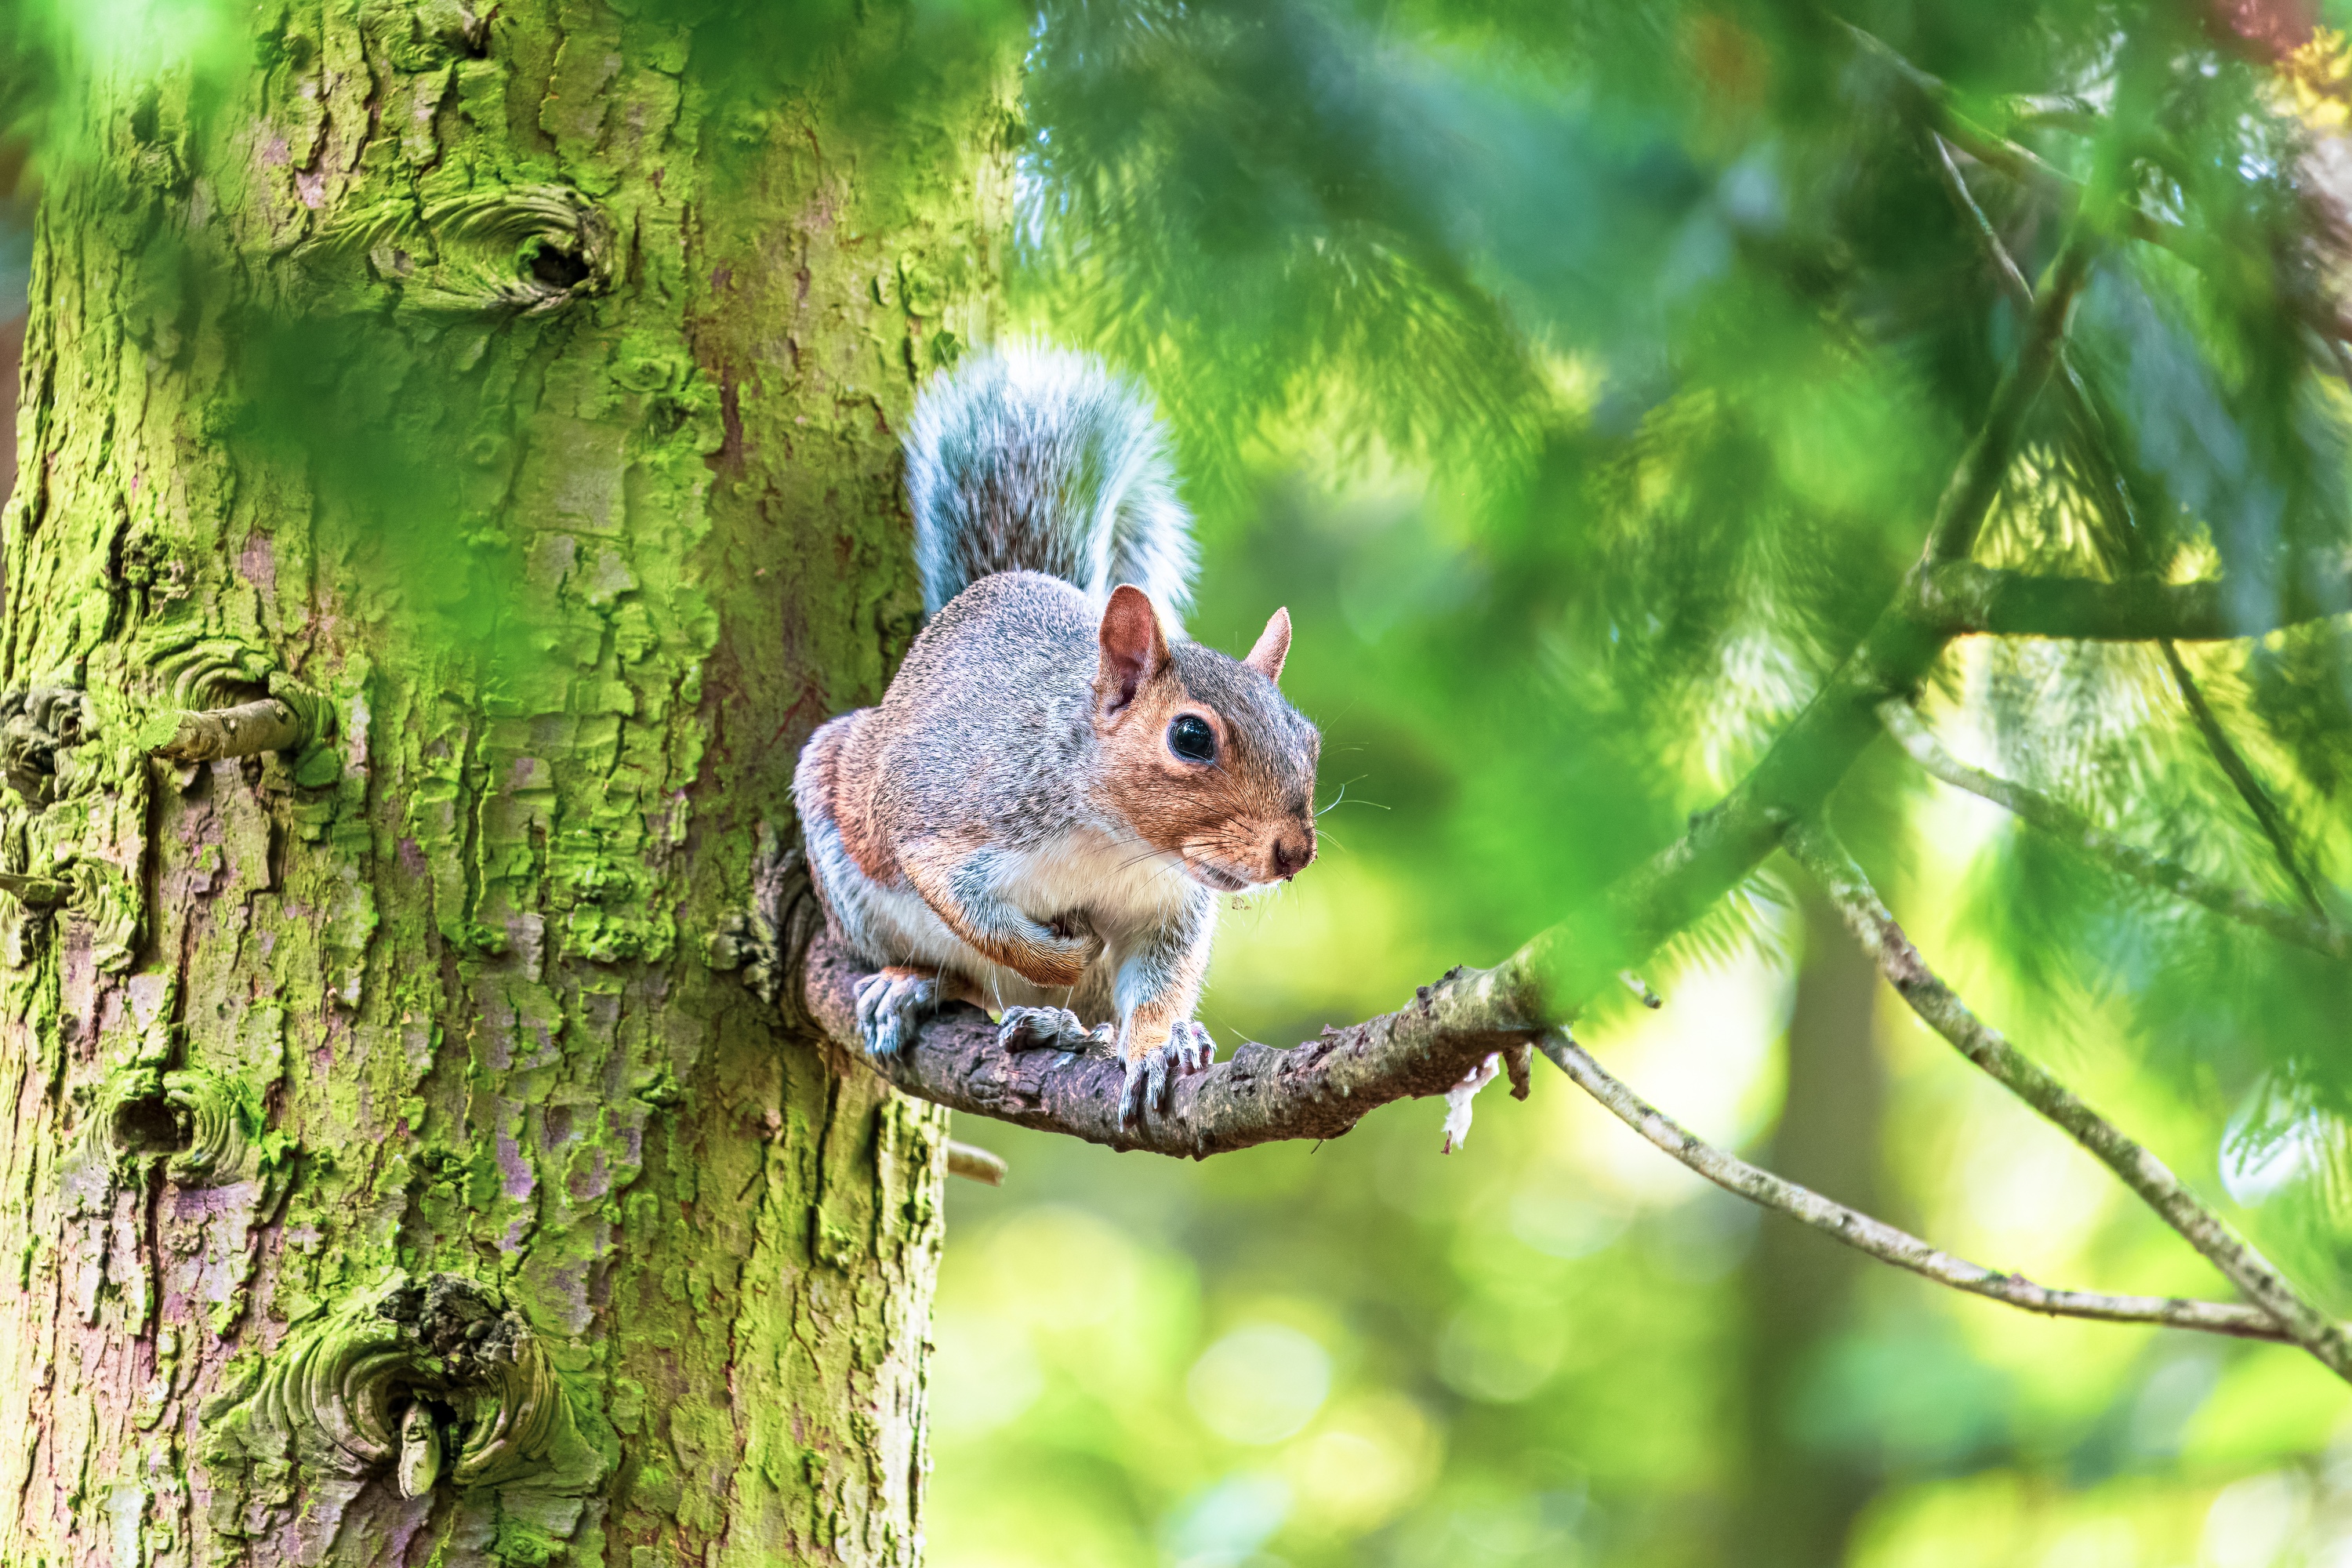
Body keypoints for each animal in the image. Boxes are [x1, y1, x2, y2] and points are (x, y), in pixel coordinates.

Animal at [792, 342, 1322, 1126]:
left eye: (1309, 739)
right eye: (1191, 738)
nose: (1295, 853)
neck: (1116, 844)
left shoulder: (1169, 909)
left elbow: (1159, 983)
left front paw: (1159, 1044)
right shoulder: (949, 823)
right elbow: (980, 919)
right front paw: (1063, 950)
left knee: (1088, 1015)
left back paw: (1084, 1028)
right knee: (968, 978)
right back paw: (912, 984)